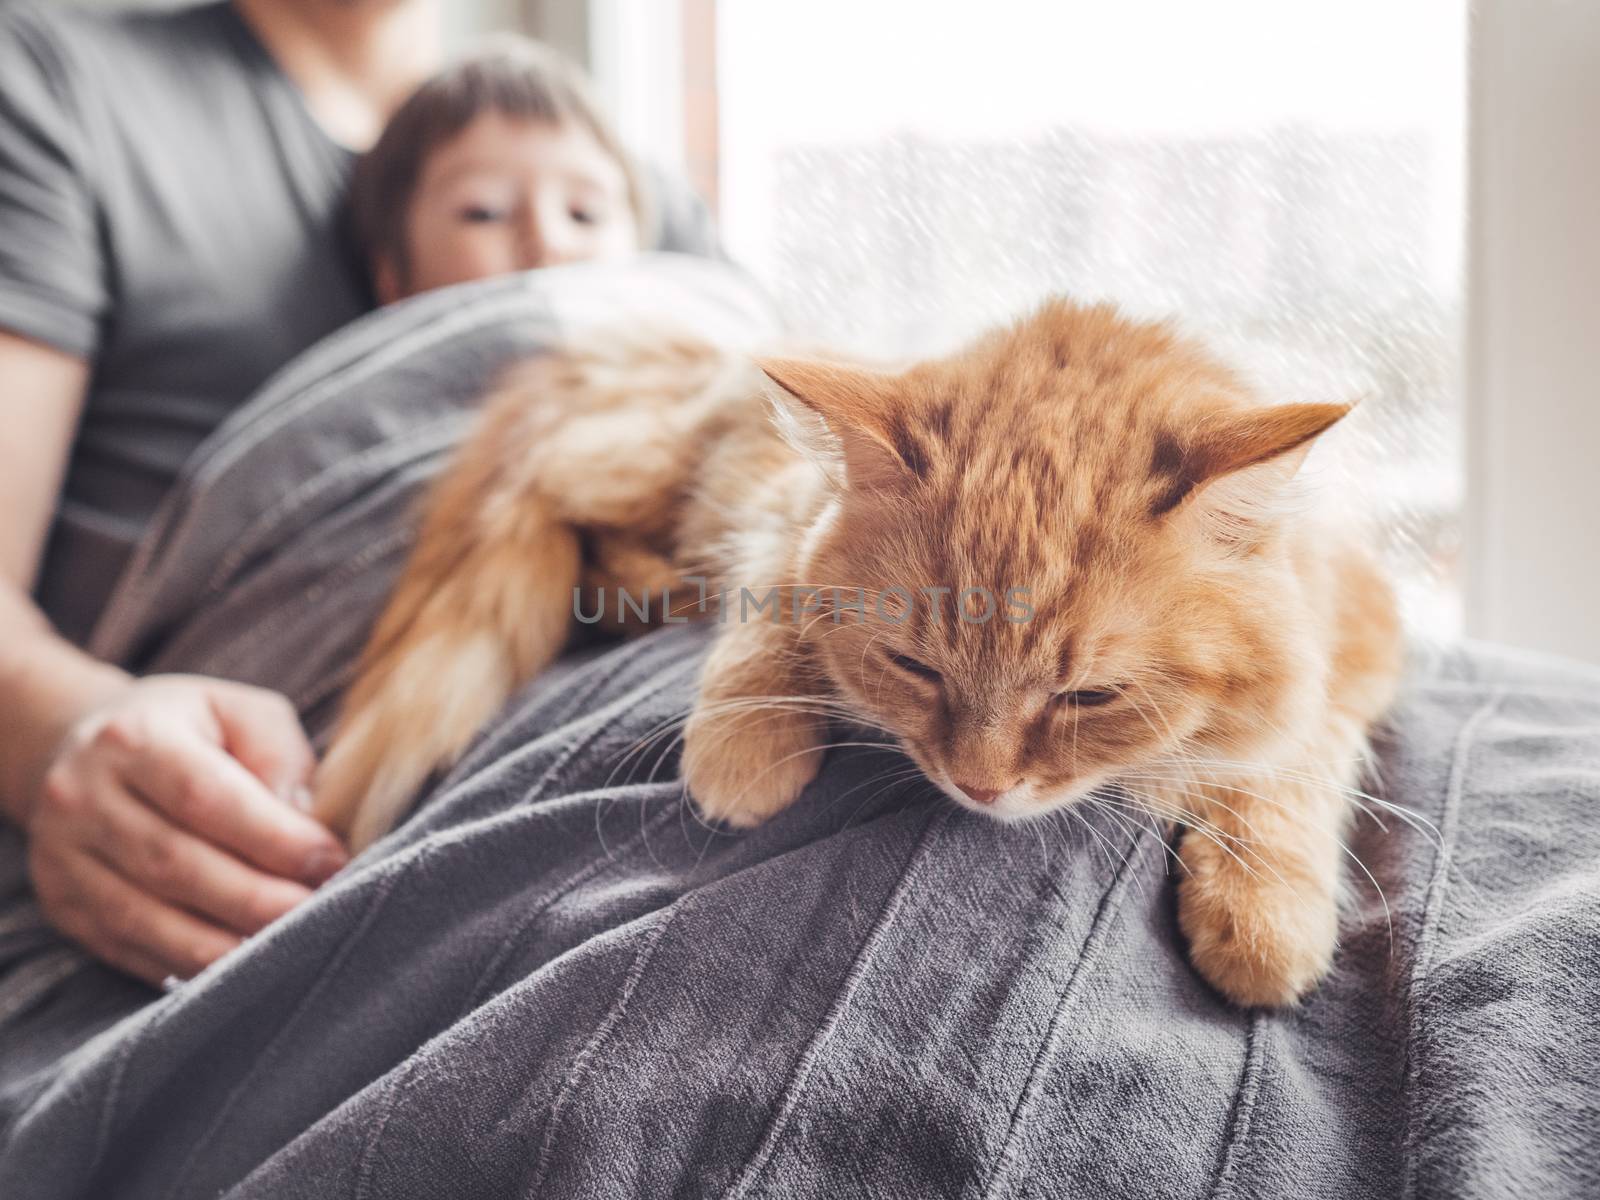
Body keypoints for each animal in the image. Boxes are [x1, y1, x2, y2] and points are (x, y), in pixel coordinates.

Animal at [315, 299, 1401, 1004]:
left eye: (1088, 697)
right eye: (916, 668)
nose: (979, 786)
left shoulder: (1359, 645)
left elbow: (1290, 772)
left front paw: (1264, 913)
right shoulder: (781, 513)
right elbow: (770, 626)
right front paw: (746, 753)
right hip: (634, 476)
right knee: (556, 508)